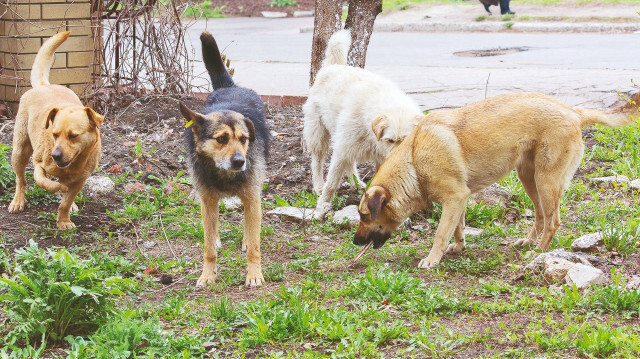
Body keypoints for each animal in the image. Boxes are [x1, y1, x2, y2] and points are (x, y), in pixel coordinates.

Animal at [8, 32, 103, 229]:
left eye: (73, 136)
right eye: (54, 134)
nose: (55, 155)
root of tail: (44, 85)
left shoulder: (80, 179)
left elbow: (66, 202)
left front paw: (64, 220)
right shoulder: (38, 164)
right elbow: (44, 182)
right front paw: (58, 189)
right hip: (20, 150)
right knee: (21, 179)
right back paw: (18, 201)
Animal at [180, 32, 270, 288]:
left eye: (243, 139)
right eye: (221, 139)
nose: (240, 161)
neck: (224, 174)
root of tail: (230, 87)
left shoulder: (252, 197)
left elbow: (255, 244)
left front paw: (254, 274)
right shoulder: (208, 199)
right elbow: (208, 246)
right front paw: (207, 274)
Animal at [302, 29, 422, 215]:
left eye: (406, 140)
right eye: (390, 140)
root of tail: (333, 66)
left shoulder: (378, 157)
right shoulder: (341, 150)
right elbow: (332, 181)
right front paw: (323, 204)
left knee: (350, 162)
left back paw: (356, 183)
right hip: (319, 133)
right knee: (317, 161)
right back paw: (318, 186)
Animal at [352, 94, 632, 268]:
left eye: (364, 216)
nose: (354, 242)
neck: (414, 160)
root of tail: (573, 111)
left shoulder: (454, 198)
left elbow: (441, 234)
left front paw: (432, 259)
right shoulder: (459, 200)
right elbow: (457, 228)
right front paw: (459, 247)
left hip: (546, 181)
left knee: (553, 222)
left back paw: (539, 250)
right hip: (529, 179)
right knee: (541, 216)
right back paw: (529, 242)